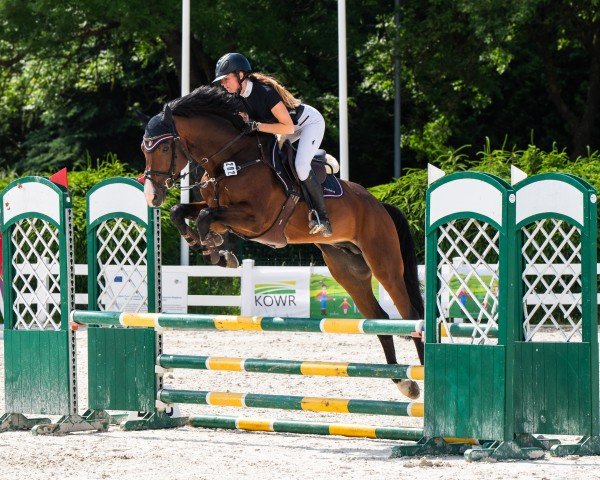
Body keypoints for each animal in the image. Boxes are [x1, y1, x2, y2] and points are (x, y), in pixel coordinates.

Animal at [139, 85, 424, 398]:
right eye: (144, 149)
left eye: (164, 148)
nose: (152, 196)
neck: (232, 160)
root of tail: (380, 205)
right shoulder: (223, 211)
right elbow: (183, 212)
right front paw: (210, 247)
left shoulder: (256, 220)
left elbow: (204, 216)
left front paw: (215, 251)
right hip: (348, 270)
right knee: (378, 317)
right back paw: (404, 383)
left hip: (384, 262)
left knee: (410, 313)